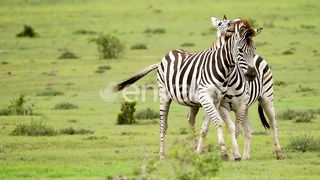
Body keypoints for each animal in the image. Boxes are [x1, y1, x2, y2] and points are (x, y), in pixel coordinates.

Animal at [114, 19, 262, 160]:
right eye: (240, 50)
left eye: (254, 49)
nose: (252, 75)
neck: (223, 69)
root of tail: (170, 53)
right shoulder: (205, 97)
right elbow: (219, 122)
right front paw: (225, 153)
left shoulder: (215, 100)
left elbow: (205, 128)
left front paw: (204, 152)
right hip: (164, 94)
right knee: (163, 125)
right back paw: (162, 156)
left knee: (189, 121)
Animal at [200, 15, 282, 159]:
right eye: (239, 50)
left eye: (254, 48)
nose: (252, 74)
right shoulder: (223, 107)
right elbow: (231, 127)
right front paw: (234, 153)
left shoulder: (240, 106)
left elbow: (237, 129)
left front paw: (234, 155)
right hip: (246, 107)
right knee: (248, 129)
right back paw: (246, 156)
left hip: (266, 98)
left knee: (273, 123)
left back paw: (278, 153)